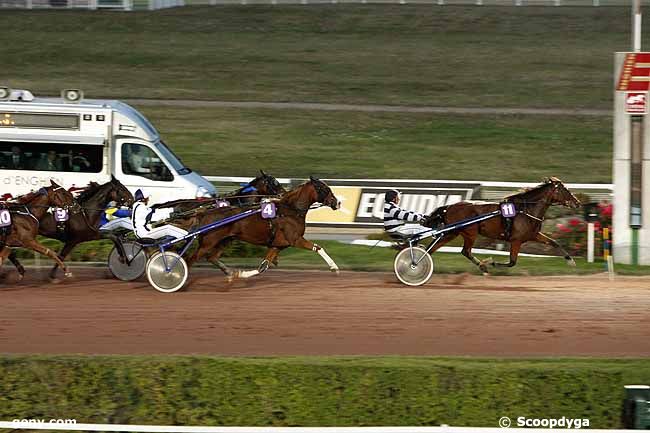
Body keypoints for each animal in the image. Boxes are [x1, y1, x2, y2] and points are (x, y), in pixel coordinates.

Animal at [185, 177, 340, 278]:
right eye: (324, 188)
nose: (337, 202)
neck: (291, 211)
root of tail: (203, 213)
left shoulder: (277, 245)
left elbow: (263, 267)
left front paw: (241, 274)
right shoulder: (295, 239)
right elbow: (318, 248)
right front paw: (334, 267)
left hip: (225, 240)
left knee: (212, 257)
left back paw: (229, 273)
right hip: (208, 242)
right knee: (189, 260)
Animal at [422, 176, 580, 274]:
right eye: (565, 190)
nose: (577, 202)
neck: (525, 209)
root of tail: (449, 207)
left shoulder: (533, 235)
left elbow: (554, 242)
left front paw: (571, 260)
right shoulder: (516, 240)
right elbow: (512, 262)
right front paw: (490, 263)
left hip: (452, 233)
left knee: (433, 248)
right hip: (470, 233)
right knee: (465, 251)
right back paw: (482, 266)